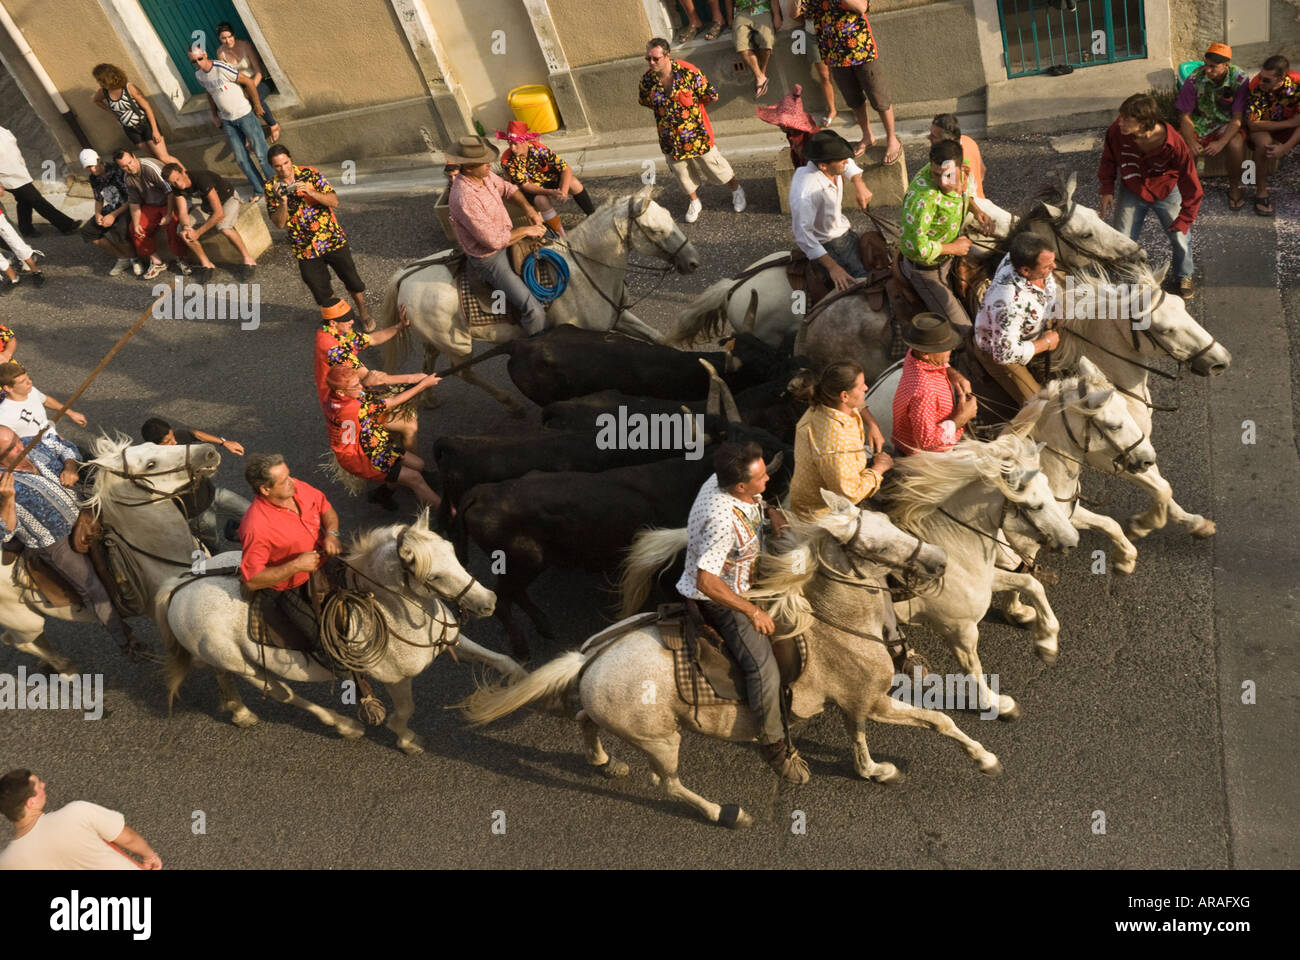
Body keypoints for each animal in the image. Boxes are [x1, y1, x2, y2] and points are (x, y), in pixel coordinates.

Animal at [379, 183, 702, 416]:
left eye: (671, 219)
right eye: (655, 230)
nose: (693, 262)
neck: (585, 270)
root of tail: (404, 276)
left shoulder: (619, 316)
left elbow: (659, 338)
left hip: (436, 339)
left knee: (429, 362)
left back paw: (428, 397)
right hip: (457, 344)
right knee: (466, 373)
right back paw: (511, 404)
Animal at [462, 496, 1008, 827]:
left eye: (892, 522)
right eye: (874, 543)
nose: (938, 560)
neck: (836, 622)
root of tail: (589, 657)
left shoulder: (857, 702)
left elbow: (859, 739)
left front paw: (874, 770)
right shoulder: (874, 701)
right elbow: (939, 722)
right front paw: (985, 757)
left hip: (616, 716)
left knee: (582, 719)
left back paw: (605, 762)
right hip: (661, 739)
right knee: (667, 782)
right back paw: (725, 813)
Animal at [883, 429, 1076, 712]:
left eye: (1049, 487)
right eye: (1036, 506)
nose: (1073, 539)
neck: (950, 548)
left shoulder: (987, 578)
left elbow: (1031, 584)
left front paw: (1046, 641)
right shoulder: (960, 630)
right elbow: (972, 666)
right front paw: (995, 703)